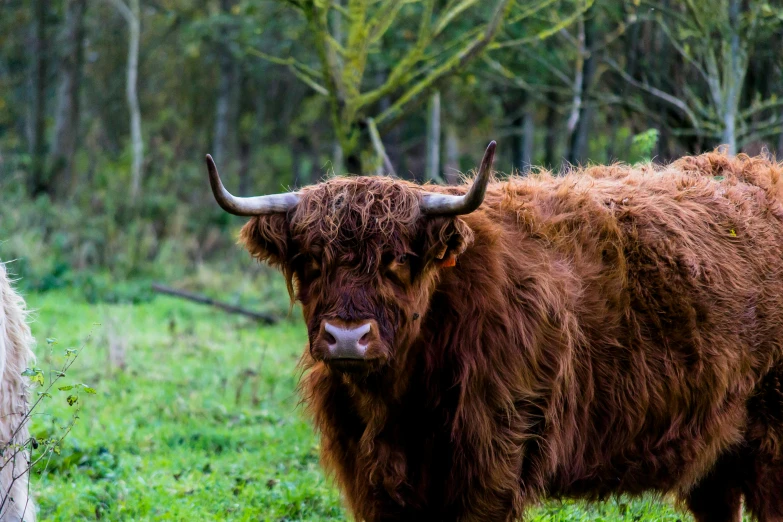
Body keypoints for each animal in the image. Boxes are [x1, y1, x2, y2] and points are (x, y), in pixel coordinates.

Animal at [207, 143, 783, 520]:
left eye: (399, 261)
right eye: (310, 261)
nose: (347, 337)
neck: (394, 403)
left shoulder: (492, 461)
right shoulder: (371, 476)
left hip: (772, 439)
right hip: (715, 448)